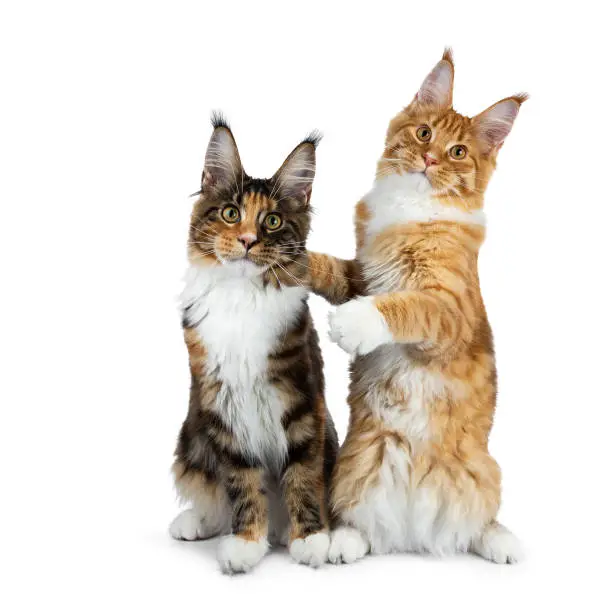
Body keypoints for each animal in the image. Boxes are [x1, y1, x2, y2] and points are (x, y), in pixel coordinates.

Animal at [169, 116, 340, 572]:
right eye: (231, 213)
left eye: (273, 221)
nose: (247, 240)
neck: (242, 297)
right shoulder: (220, 404)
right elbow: (242, 483)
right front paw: (246, 541)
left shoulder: (301, 400)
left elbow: (301, 475)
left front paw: (310, 538)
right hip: (192, 439)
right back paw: (198, 520)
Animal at [306, 50, 524, 560]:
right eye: (425, 133)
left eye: (458, 152)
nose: (429, 158)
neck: (410, 209)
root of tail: (417, 534)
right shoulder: (361, 274)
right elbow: (329, 268)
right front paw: (286, 258)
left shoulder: (447, 310)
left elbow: (404, 306)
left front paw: (354, 323)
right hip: (356, 459)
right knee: (364, 524)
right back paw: (346, 541)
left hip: (487, 470)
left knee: (478, 523)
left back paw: (502, 542)